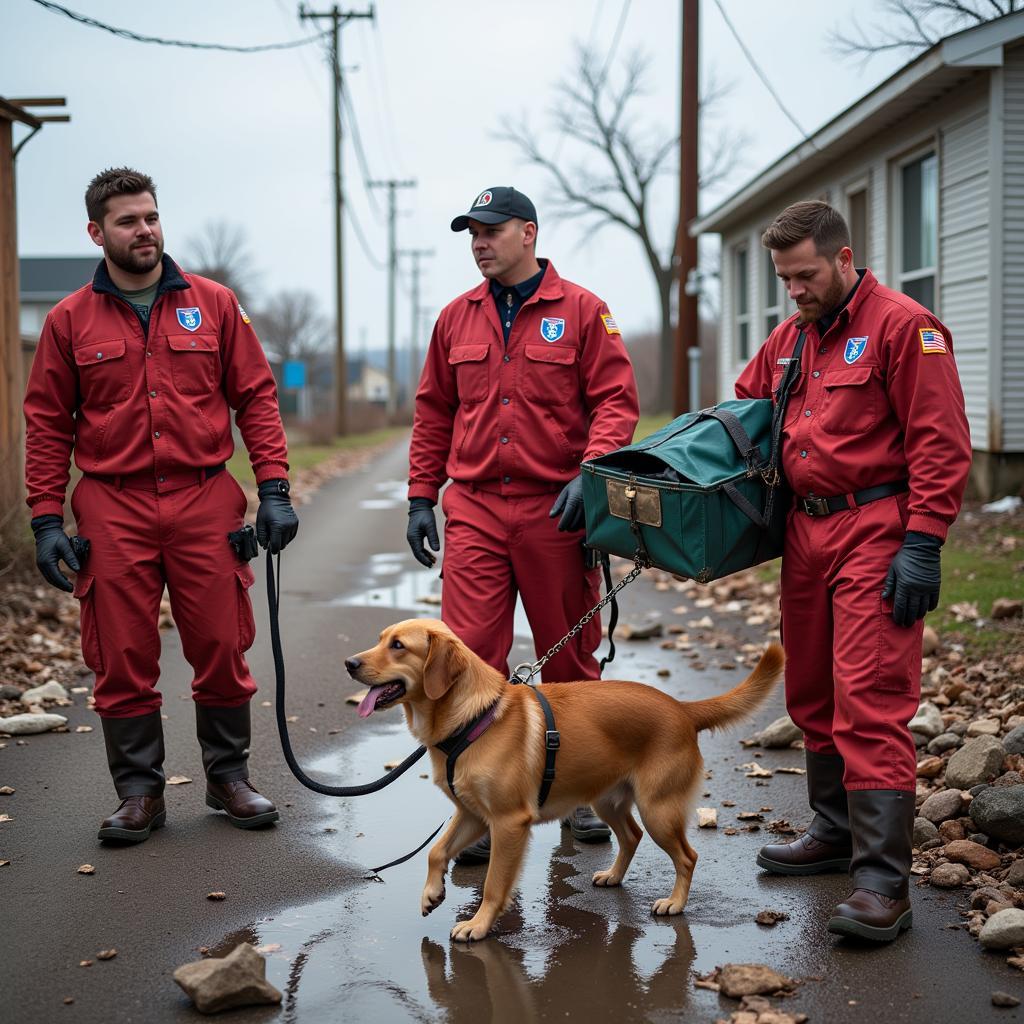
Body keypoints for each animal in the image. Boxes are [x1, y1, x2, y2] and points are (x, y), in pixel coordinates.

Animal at [344, 614, 782, 942]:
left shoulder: (508, 823)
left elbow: (493, 884)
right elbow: (436, 852)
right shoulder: (472, 815)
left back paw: (674, 903)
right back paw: (614, 877)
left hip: (659, 810)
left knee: (687, 856)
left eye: (398, 646)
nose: (350, 663)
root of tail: (682, 709)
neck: (474, 718)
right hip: (609, 801)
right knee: (631, 837)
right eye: (381, 639)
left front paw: (479, 925)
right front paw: (432, 893)